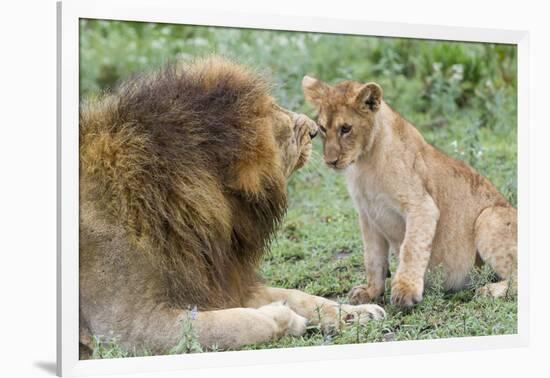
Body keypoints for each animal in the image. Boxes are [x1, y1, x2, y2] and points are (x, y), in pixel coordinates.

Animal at [80, 56, 386, 358]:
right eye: (275, 113)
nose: (313, 131)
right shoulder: (128, 326)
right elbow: (234, 323)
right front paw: (285, 318)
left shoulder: (221, 281)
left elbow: (299, 296)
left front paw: (356, 313)